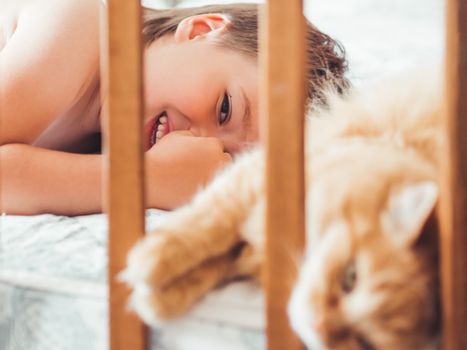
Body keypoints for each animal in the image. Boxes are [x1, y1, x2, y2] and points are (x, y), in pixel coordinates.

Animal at [120, 69, 442, 350]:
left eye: (364, 343)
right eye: (351, 278)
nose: (318, 326)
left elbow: (211, 265)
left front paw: (157, 298)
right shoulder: (253, 180)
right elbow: (205, 227)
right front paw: (151, 261)